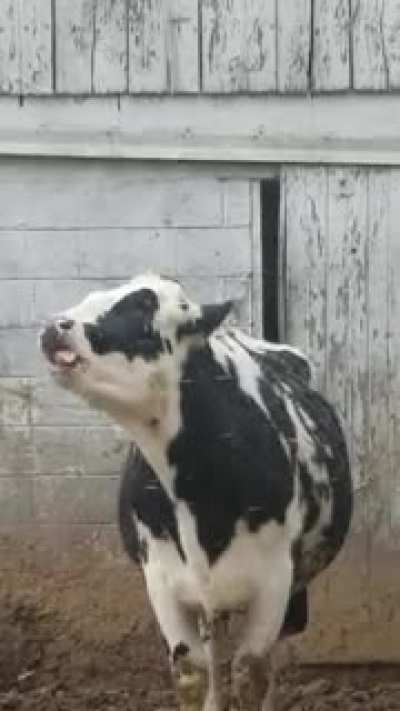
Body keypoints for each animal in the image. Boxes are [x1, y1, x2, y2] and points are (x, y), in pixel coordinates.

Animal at [40, 273, 353, 711]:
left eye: (142, 308)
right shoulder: (161, 579)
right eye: (93, 295)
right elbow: (193, 672)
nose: (54, 327)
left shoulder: (273, 582)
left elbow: (250, 672)